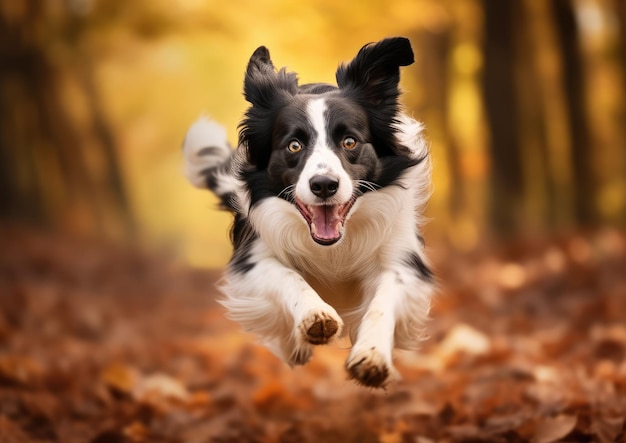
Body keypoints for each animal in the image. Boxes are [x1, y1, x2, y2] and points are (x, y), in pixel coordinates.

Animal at [183, 38, 432, 388]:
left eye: (350, 141)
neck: (333, 246)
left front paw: (371, 355)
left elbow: (383, 300)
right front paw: (315, 315)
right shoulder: (254, 256)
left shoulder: (401, 257)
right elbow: (288, 276)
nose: (324, 185)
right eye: (294, 146)